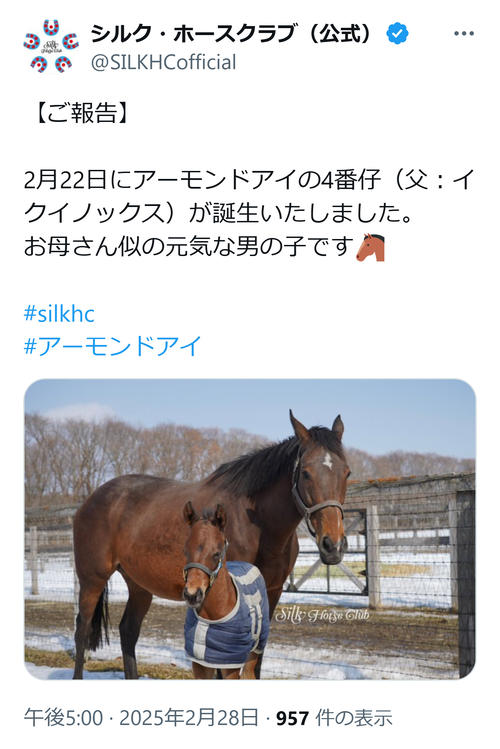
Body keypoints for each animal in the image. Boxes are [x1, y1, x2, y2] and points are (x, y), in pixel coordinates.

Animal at [182, 502, 269, 679]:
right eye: (186, 551)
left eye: (216, 554)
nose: (192, 595)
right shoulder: (200, 663)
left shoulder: (232, 665)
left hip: (256, 648)